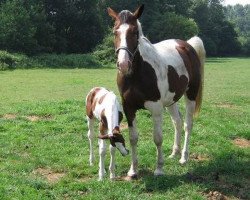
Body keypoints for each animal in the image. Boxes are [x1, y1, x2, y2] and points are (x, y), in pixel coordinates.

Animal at [107, 4, 205, 178]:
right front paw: (133, 170)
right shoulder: (129, 108)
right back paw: (174, 153)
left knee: (187, 124)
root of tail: (187, 46)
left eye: (134, 32)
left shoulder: (156, 109)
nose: (123, 64)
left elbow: (158, 138)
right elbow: (133, 138)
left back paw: (184, 157)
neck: (137, 74)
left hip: (190, 95)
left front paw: (159, 169)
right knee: (177, 122)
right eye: (115, 31)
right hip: (172, 100)